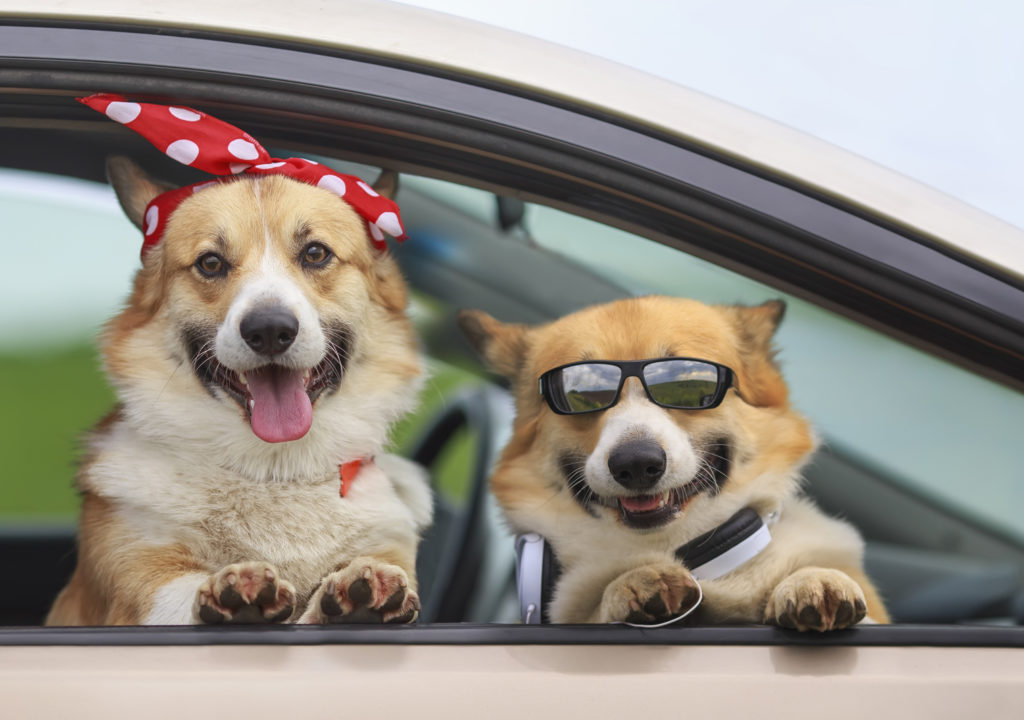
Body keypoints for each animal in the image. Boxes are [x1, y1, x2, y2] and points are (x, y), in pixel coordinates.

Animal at [46, 95, 430, 626]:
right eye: (210, 263)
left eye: (315, 253)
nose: (269, 330)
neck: (275, 470)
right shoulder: (137, 582)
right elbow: (178, 593)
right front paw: (236, 590)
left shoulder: (389, 545)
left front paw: (357, 591)